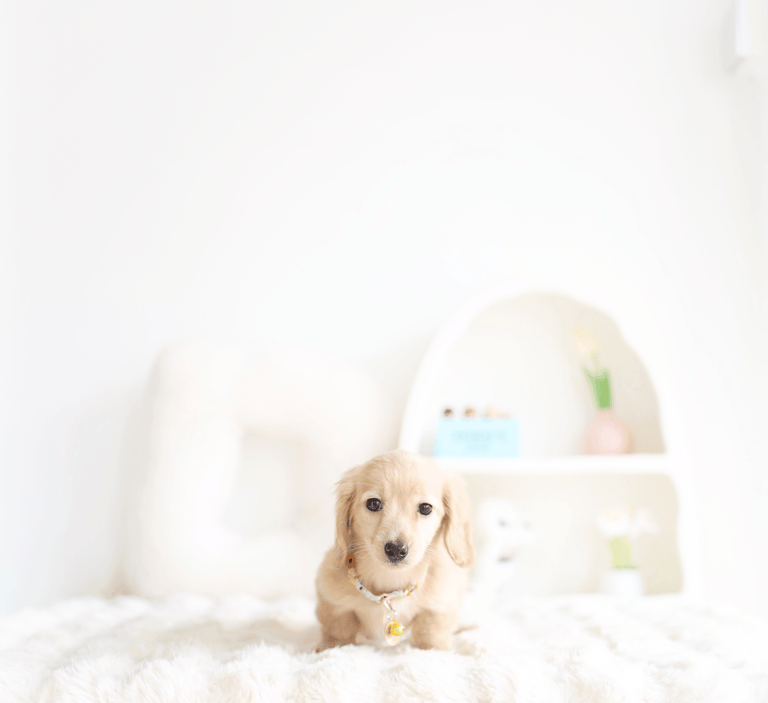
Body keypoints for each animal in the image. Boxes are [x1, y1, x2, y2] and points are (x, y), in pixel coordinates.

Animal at [315, 450, 474, 651]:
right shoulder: (334, 605)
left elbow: (430, 635)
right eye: (373, 503)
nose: (396, 549)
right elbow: (338, 633)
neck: (389, 585)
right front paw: (329, 649)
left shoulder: (438, 608)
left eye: (426, 508)